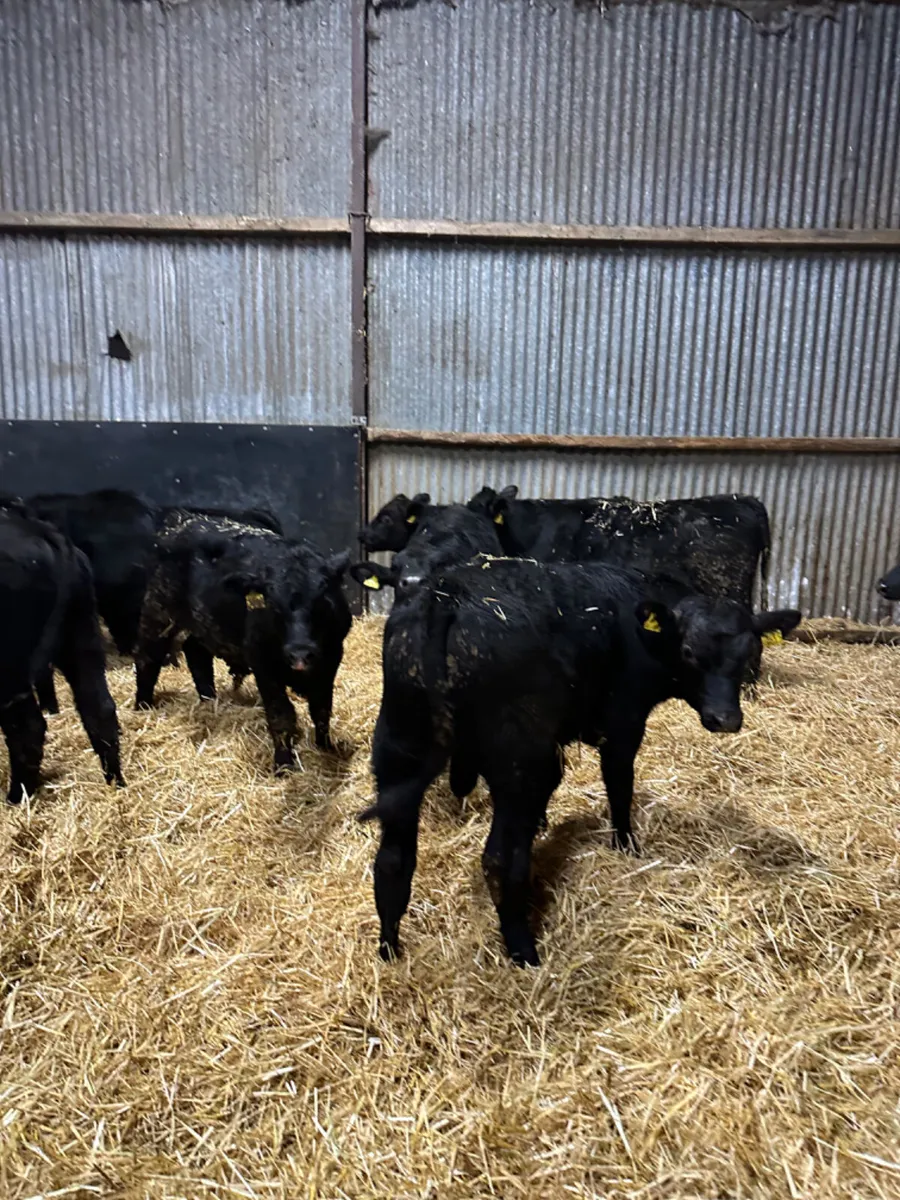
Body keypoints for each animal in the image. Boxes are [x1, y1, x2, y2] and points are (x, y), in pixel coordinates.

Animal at [0, 507, 124, 803]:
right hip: (81, 633)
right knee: (99, 707)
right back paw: (116, 783)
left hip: (9, 666)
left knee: (28, 728)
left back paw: (16, 797)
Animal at [134, 514, 351, 772]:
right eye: (273, 606)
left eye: (322, 602)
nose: (300, 654)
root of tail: (183, 520)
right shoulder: (263, 665)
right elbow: (281, 714)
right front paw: (283, 765)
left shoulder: (331, 660)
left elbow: (322, 709)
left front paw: (326, 748)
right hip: (158, 611)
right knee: (147, 658)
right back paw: (142, 707)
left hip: (203, 622)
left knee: (196, 653)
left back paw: (209, 701)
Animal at [359, 555, 801, 966]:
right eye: (690, 652)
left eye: (751, 651)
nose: (726, 719)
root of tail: (446, 595)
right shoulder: (623, 723)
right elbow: (619, 785)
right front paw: (626, 844)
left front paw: (544, 825)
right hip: (513, 761)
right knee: (497, 859)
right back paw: (524, 951)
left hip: (398, 749)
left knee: (393, 862)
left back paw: (389, 949)